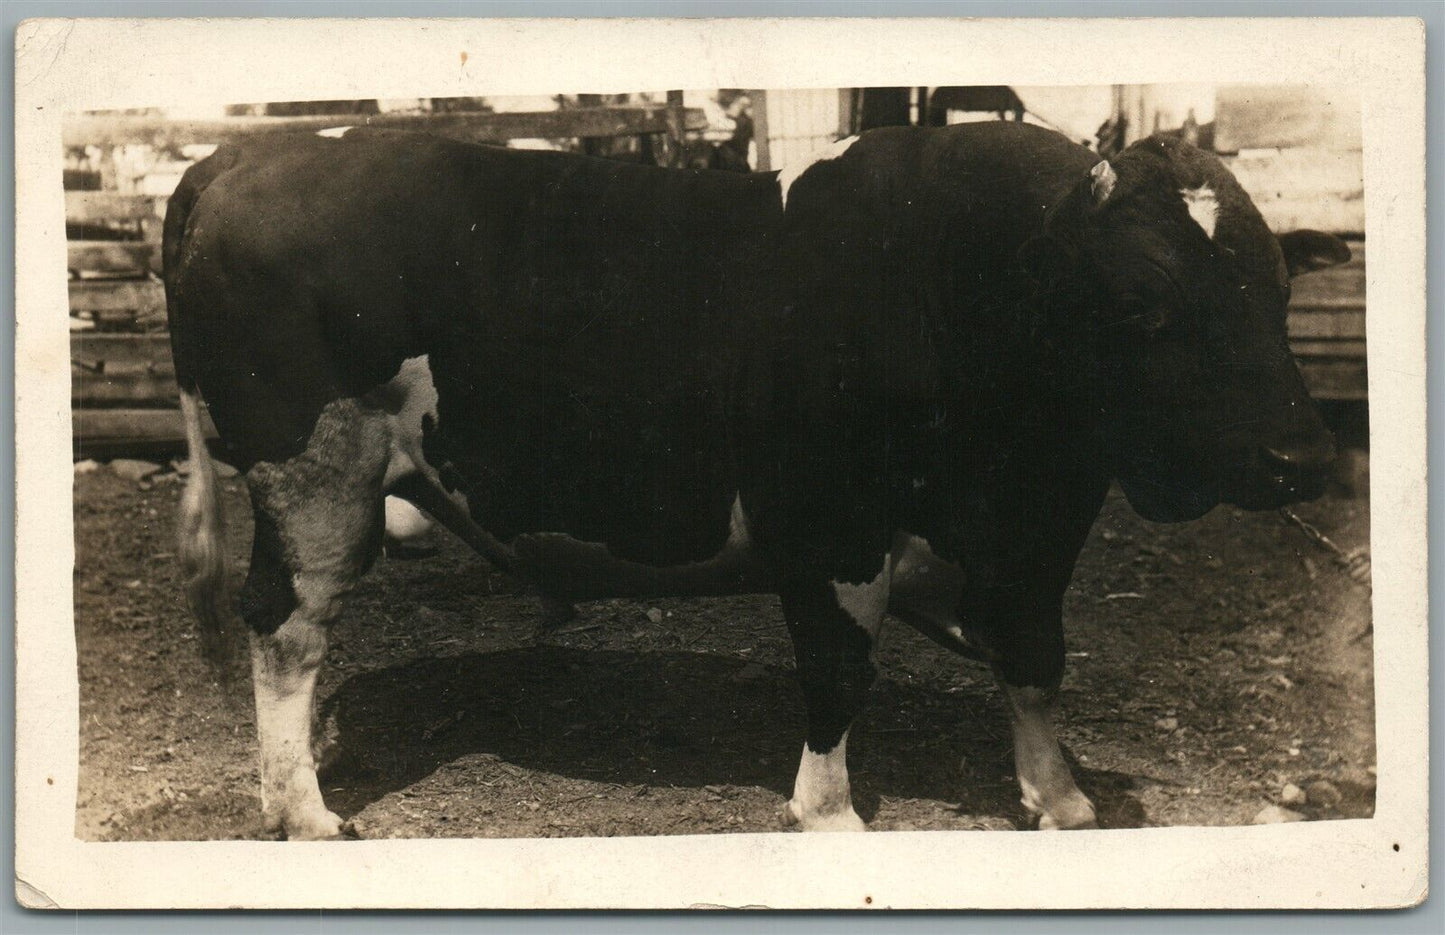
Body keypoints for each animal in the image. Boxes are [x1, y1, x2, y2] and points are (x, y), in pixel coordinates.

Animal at [165, 122, 1347, 839]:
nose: (1300, 459)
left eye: (1275, 288)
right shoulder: (830, 525)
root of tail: (248, 152)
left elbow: (1034, 660)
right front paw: (828, 813)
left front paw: (1058, 798)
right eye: (1144, 298)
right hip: (316, 472)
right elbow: (835, 672)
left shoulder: (1034, 537)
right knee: (287, 626)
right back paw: (305, 810)